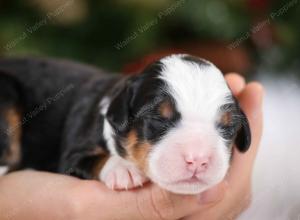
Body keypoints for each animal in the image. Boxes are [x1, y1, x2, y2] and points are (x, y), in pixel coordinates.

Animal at [0, 54, 251, 194]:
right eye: (158, 119)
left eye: (227, 126)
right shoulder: (72, 154)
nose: (197, 160)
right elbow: (94, 158)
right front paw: (123, 169)